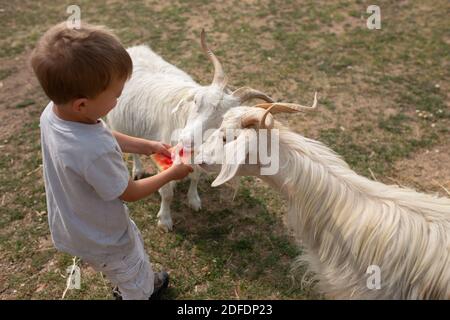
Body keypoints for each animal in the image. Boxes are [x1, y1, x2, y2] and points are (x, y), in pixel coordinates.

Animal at [106, 30, 274, 231]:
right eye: (196, 101)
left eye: (224, 119)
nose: (186, 140)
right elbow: (166, 192)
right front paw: (165, 220)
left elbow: (195, 176)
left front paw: (194, 200)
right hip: (119, 123)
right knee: (132, 148)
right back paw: (138, 170)